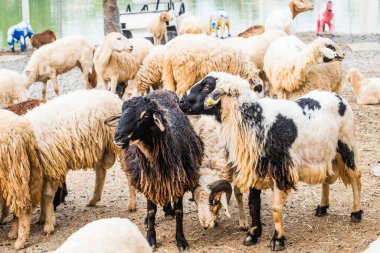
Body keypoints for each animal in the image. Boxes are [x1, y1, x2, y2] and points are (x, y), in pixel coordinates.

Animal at [23, 89, 127, 235]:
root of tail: (114, 96)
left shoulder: (53, 164)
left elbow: (47, 195)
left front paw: (48, 224)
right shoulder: (46, 168)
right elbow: (44, 196)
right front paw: (43, 217)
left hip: (118, 143)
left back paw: (132, 205)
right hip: (101, 146)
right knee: (101, 172)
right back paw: (93, 200)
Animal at [105, 90, 203, 250]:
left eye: (145, 115)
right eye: (122, 111)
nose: (118, 137)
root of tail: (160, 91)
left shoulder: (179, 181)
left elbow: (179, 212)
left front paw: (181, 240)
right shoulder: (149, 182)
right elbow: (151, 212)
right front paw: (150, 238)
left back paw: (168, 210)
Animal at [180, 71, 364, 251]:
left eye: (207, 86)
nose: (181, 101)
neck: (256, 120)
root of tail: (336, 96)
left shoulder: (281, 169)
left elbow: (276, 208)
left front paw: (278, 239)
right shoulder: (255, 169)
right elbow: (253, 205)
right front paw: (253, 235)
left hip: (347, 144)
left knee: (356, 177)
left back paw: (356, 212)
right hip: (325, 151)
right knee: (327, 176)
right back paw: (322, 207)